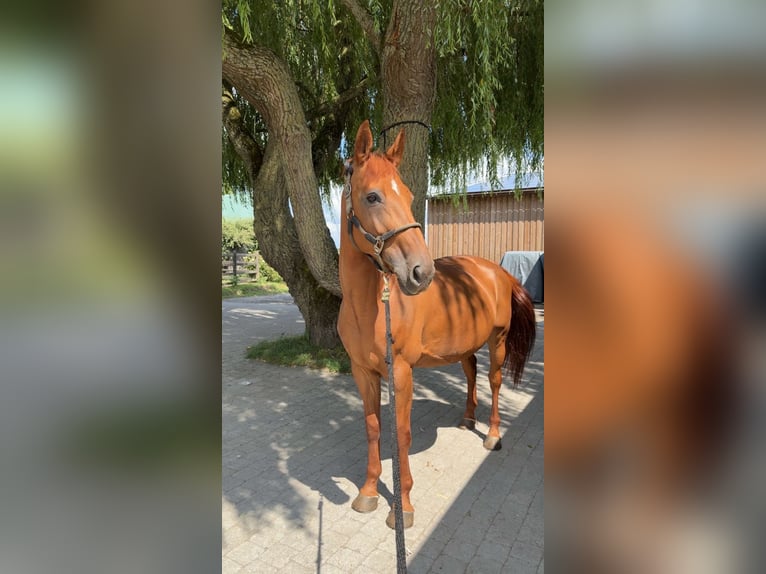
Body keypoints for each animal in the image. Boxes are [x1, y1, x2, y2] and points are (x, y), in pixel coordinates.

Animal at [337, 120, 537, 528]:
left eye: (409, 194)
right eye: (373, 197)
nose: (421, 272)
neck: (369, 308)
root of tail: (498, 271)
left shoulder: (401, 373)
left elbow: (401, 435)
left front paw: (402, 508)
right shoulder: (362, 372)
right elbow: (372, 427)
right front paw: (368, 493)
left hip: (498, 341)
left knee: (493, 380)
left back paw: (492, 435)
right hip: (464, 345)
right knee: (472, 371)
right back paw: (467, 419)